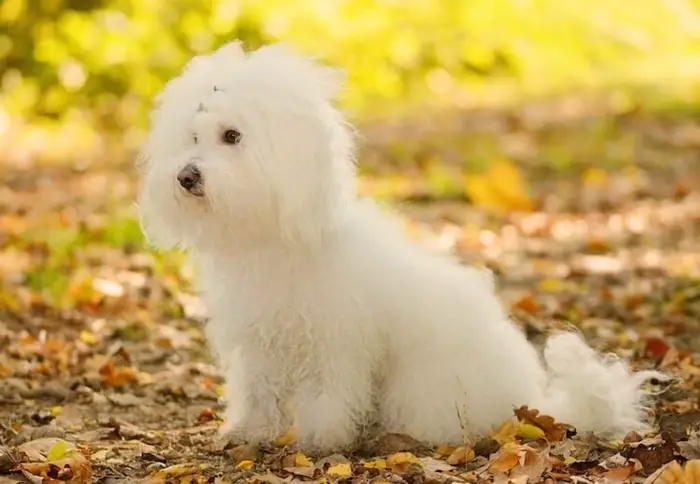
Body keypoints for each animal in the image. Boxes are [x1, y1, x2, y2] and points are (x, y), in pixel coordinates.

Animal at [138, 39, 668, 452]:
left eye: (232, 136)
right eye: (192, 136)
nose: (186, 176)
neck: (273, 238)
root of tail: (533, 401)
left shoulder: (336, 343)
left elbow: (328, 395)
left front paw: (320, 440)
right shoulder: (257, 344)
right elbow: (256, 393)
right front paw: (248, 432)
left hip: (425, 383)